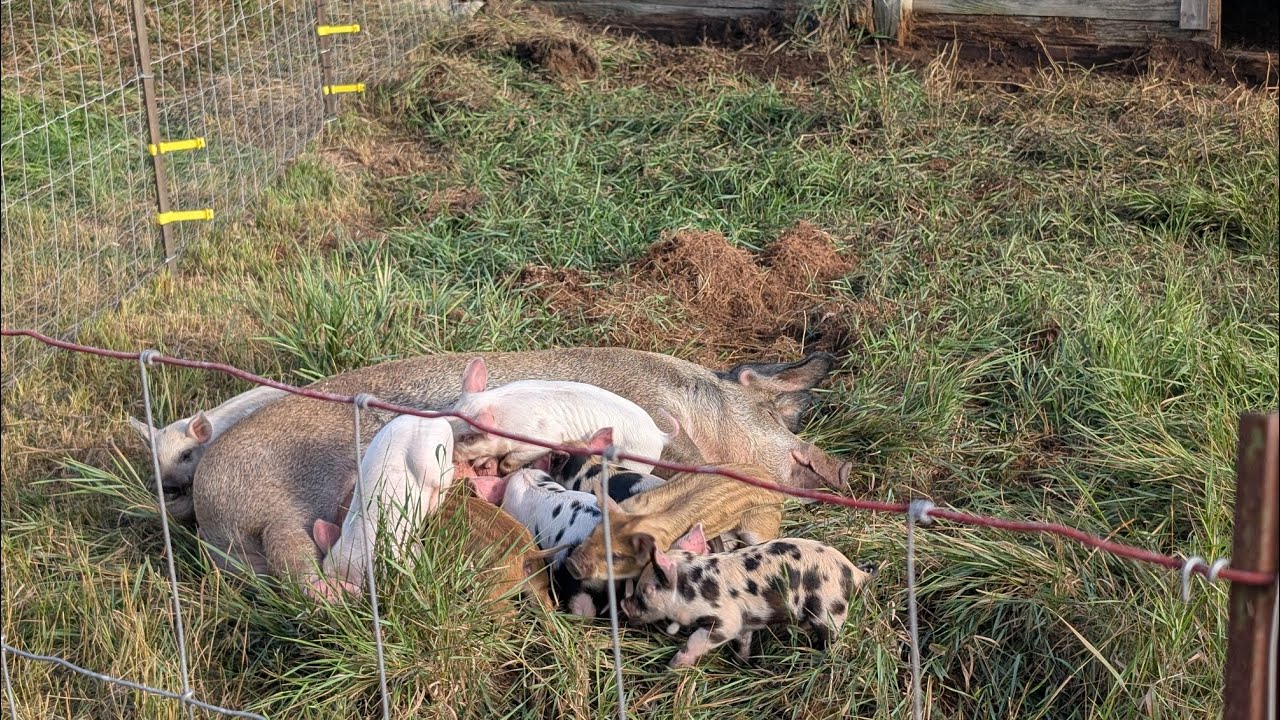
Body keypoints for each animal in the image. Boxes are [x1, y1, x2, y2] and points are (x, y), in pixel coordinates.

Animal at [447, 357, 681, 475]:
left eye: (469, 438)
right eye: (450, 415)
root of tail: (659, 435)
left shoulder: (542, 437)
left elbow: (514, 458)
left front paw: (502, 470)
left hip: (637, 459)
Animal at [619, 530, 877, 668]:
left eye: (646, 591)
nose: (624, 606)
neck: (693, 589)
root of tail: (854, 571)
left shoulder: (726, 619)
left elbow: (697, 639)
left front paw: (674, 666)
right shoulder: (746, 621)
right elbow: (743, 641)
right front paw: (741, 662)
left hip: (828, 607)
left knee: (830, 637)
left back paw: (819, 657)